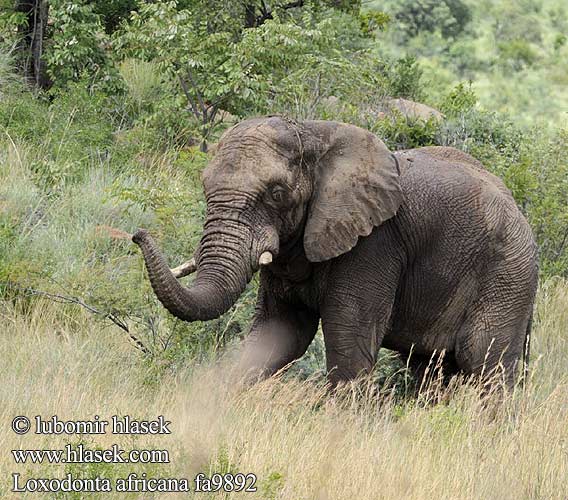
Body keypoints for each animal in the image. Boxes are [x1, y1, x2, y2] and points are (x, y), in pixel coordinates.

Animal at [132, 116, 536, 390]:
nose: (138, 234)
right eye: (205, 188)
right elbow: (278, 333)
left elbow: (348, 345)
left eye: (276, 194)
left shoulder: (374, 245)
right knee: (431, 369)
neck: (312, 133)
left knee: (486, 363)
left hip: (509, 275)